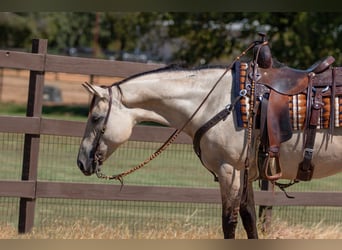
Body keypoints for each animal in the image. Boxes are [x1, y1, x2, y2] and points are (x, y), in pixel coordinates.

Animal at [77, 34, 342, 238]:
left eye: (96, 118)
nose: (81, 162)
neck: (218, 101)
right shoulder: (245, 174)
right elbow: (249, 220)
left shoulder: (230, 171)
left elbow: (229, 223)